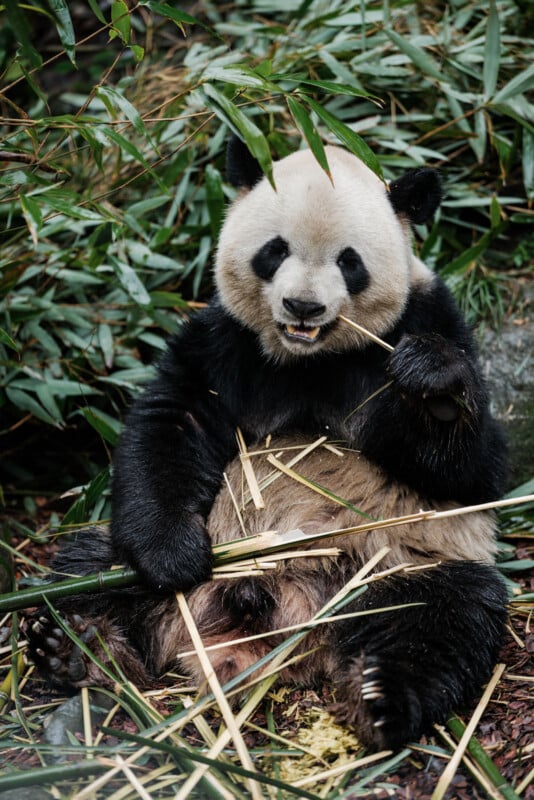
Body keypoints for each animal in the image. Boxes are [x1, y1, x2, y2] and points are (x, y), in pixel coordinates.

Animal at [28, 138, 510, 752]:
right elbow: (171, 422)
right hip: (172, 563)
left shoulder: (429, 318)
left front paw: (433, 386)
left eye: (349, 261)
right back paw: (76, 650)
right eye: (274, 251)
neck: (311, 358)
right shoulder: (225, 339)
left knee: (442, 616)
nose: (303, 307)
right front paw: (173, 556)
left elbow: (475, 471)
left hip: (394, 563)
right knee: (88, 570)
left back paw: (382, 699)